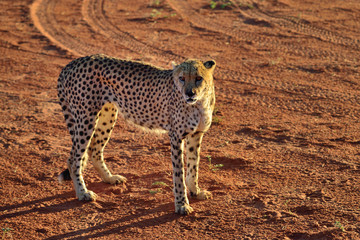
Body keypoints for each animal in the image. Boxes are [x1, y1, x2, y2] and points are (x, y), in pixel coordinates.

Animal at [57, 54, 217, 214]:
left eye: (199, 78)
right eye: (182, 78)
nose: (189, 93)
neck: (199, 103)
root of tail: (73, 63)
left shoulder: (196, 135)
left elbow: (193, 166)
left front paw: (196, 191)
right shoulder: (176, 136)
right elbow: (179, 174)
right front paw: (182, 204)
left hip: (108, 114)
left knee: (93, 151)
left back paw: (109, 178)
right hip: (86, 118)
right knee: (74, 159)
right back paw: (82, 192)